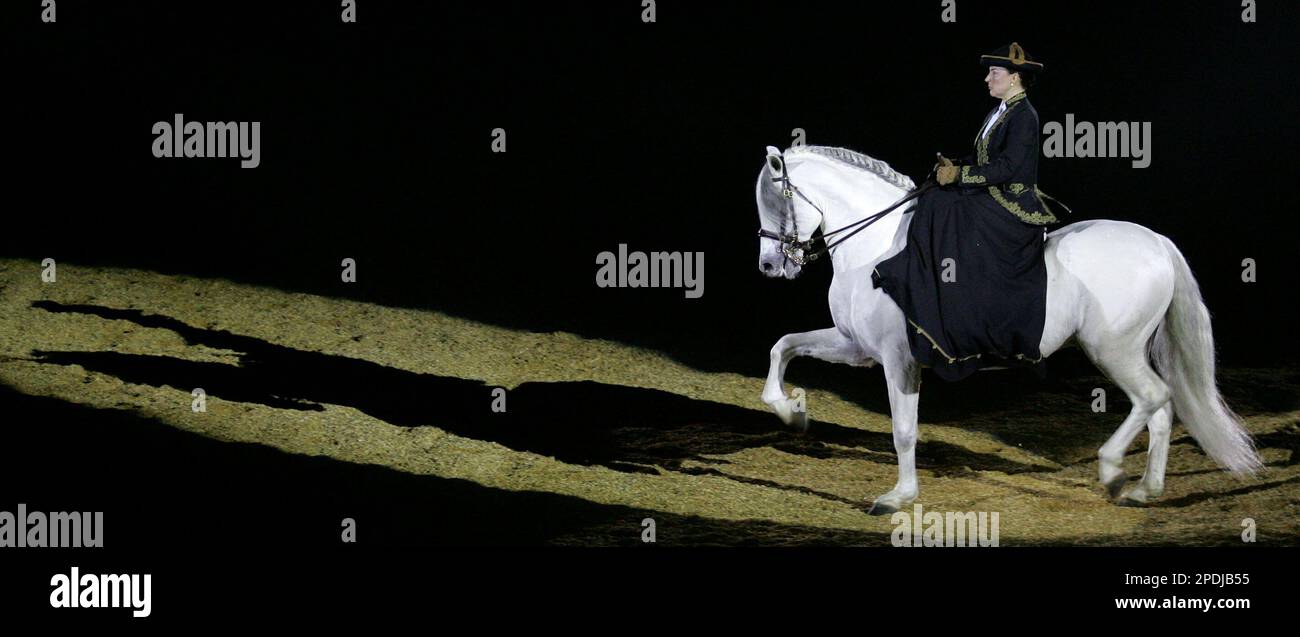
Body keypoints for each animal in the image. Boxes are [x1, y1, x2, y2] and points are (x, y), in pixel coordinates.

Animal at [754, 144, 1262, 515]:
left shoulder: (899, 358)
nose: (770, 266)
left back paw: (1113, 471)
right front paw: (790, 412)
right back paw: (1143, 490)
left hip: (1112, 348)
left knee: (1153, 398)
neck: (875, 250)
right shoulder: (856, 345)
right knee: (1160, 407)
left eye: (776, 201)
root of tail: (1156, 241)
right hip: (1126, 350)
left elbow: (903, 430)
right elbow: (783, 346)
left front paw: (898, 497)